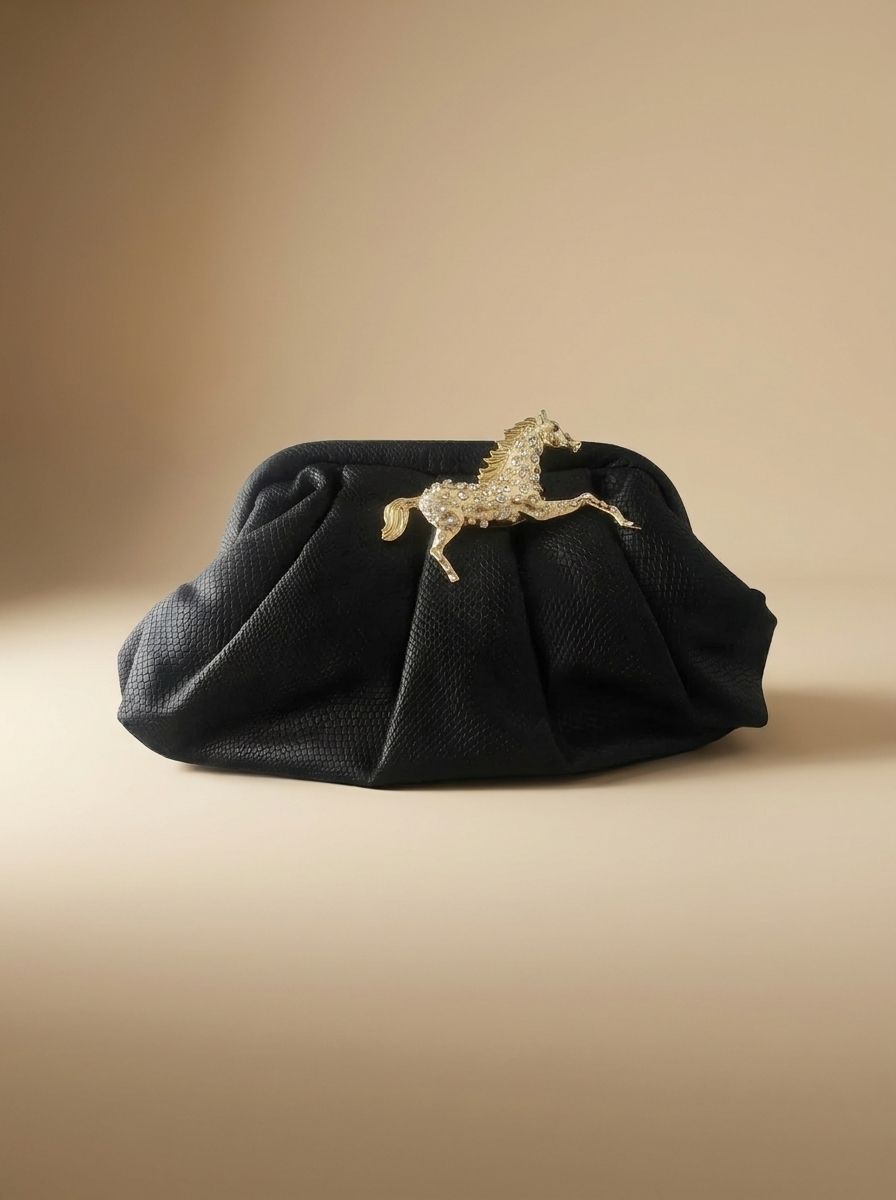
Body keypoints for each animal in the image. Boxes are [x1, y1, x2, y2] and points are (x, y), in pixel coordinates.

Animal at [381, 410, 640, 582]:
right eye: (555, 428)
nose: (576, 444)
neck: (516, 477)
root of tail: (419, 499)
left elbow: (586, 496)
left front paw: (628, 522)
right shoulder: (540, 511)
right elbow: (584, 497)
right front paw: (624, 519)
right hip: (451, 524)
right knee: (436, 550)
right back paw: (454, 577)